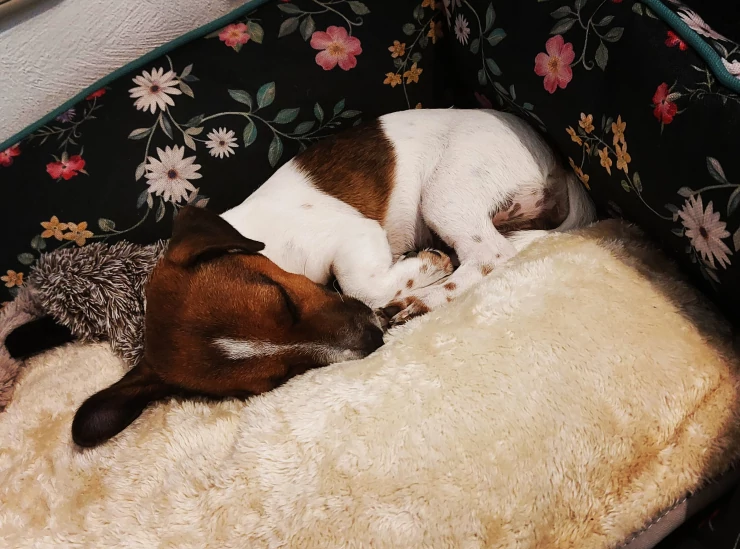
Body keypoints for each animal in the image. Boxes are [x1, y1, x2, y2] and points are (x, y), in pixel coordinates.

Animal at [71, 108, 595, 447]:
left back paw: (424, 297)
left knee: (488, 253)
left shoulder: (352, 234)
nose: (370, 337)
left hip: (448, 191)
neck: (271, 246)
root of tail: (557, 165)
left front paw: (421, 269)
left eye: (281, 298)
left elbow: (361, 282)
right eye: (278, 378)